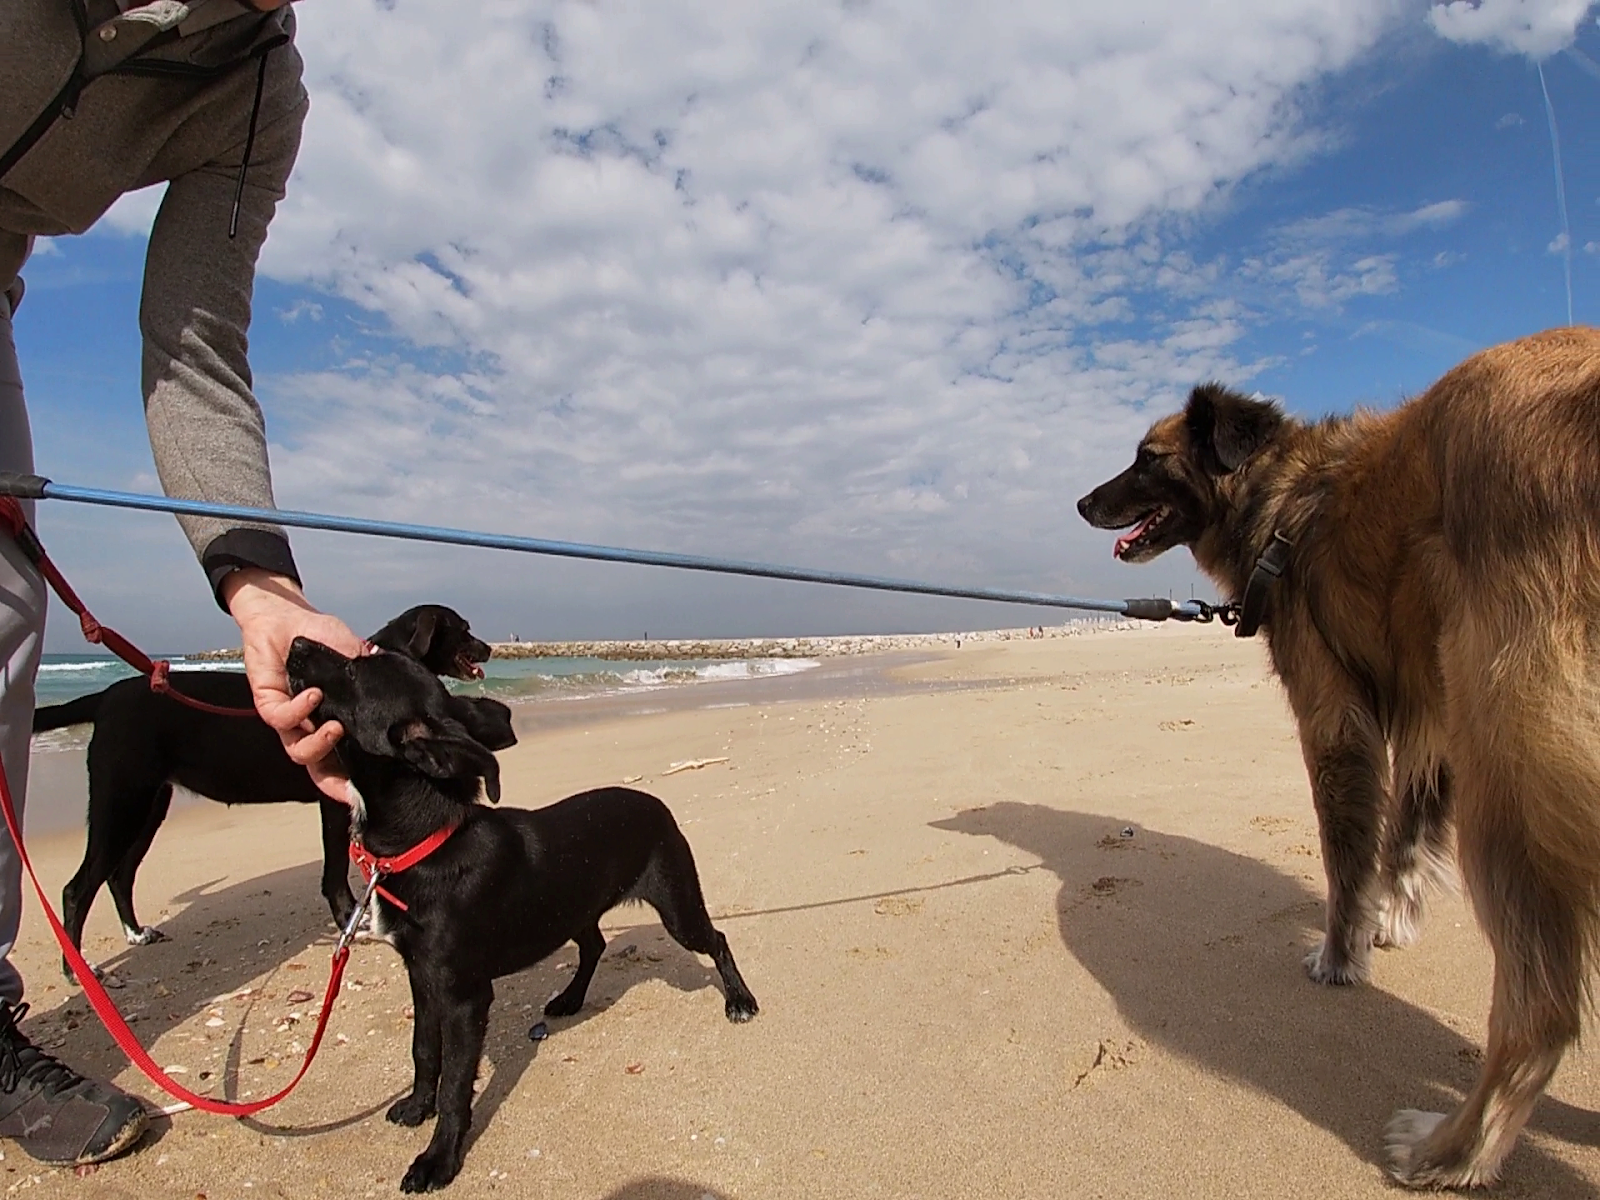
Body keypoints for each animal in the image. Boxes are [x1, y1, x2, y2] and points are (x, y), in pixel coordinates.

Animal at [34, 605, 495, 972]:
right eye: (465, 628)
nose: (490, 648)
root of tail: (105, 697)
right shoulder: (335, 801)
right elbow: (333, 872)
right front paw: (350, 918)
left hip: (149, 805)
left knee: (120, 875)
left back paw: (136, 933)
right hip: (120, 799)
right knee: (78, 888)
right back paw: (80, 971)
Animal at [286, 636, 758, 1193]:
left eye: (355, 671)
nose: (294, 642)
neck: (426, 842)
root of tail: (655, 802)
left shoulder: (464, 996)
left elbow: (455, 1084)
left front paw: (438, 1160)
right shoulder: (422, 977)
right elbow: (424, 1051)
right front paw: (417, 1108)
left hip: (677, 904)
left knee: (716, 939)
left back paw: (740, 1000)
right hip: (574, 906)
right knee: (595, 945)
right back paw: (570, 998)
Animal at [1078, 326, 1600, 1187]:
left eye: (1147, 458)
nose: (1083, 503)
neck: (1281, 500)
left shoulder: (1336, 716)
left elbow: (1346, 854)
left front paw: (1340, 953)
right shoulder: (1431, 712)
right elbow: (1406, 841)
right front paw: (1389, 922)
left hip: (1510, 772)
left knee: (1541, 1007)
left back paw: (1449, 1151)